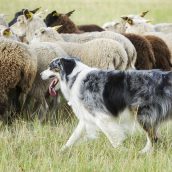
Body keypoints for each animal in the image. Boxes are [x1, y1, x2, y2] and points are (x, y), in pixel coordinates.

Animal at [40, 56, 172, 153]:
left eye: (51, 67)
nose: (40, 74)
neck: (74, 77)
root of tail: (164, 78)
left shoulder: (101, 116)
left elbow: (113, 137)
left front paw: (122, 151)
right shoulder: (87, 116)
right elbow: (73, 136)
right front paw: (62, 150)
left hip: (142, 114)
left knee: (153, 138)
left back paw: (143, 153)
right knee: (153, 137)